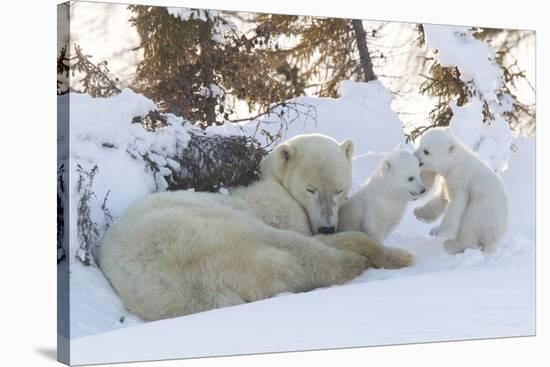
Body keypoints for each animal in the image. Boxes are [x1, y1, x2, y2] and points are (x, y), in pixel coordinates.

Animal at [101, 134, 416, 320]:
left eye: (339, 189)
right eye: (310, 189)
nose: (327, 227)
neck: (274, 183)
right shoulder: (279, 210)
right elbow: (304, 234)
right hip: (210, 227)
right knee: (301, 251)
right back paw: (376, 257)